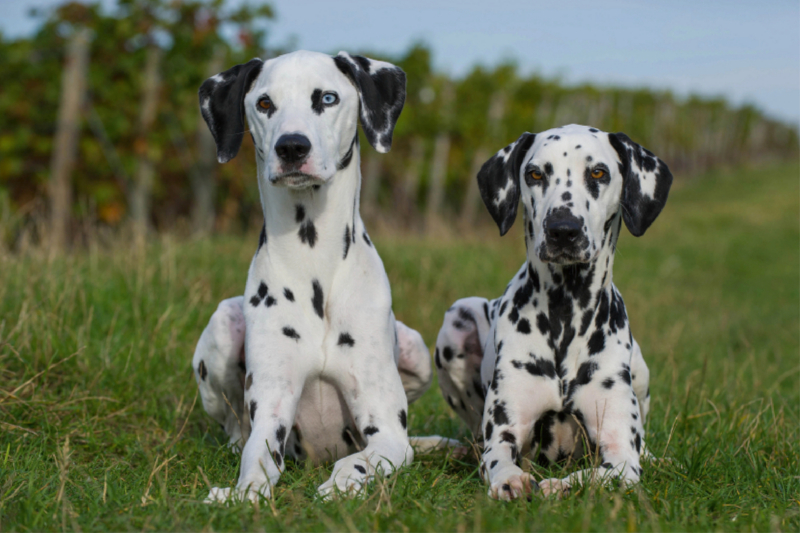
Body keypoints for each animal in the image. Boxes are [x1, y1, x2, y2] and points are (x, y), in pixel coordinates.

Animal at [191, 50, 446, 502]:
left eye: (327, 98)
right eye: (264, 103)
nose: (292, 146)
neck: (315, 265)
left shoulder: (388, 432)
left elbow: (357, 460)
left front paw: (341, 486)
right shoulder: (272, 410)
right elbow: (257, 459)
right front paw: (243, 493)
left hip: (416, 350)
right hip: (222, 325)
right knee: (235, 431)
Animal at [434, 124, 672, 498]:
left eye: (598, 172)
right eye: (535, 174)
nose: (563, 229)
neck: (566, 312)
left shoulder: (620, 452)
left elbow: (604, 472)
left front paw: (561, 485)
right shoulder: (504, 432)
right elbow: (498, 458)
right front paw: (512, 481)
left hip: (641, 368)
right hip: (458, 320)